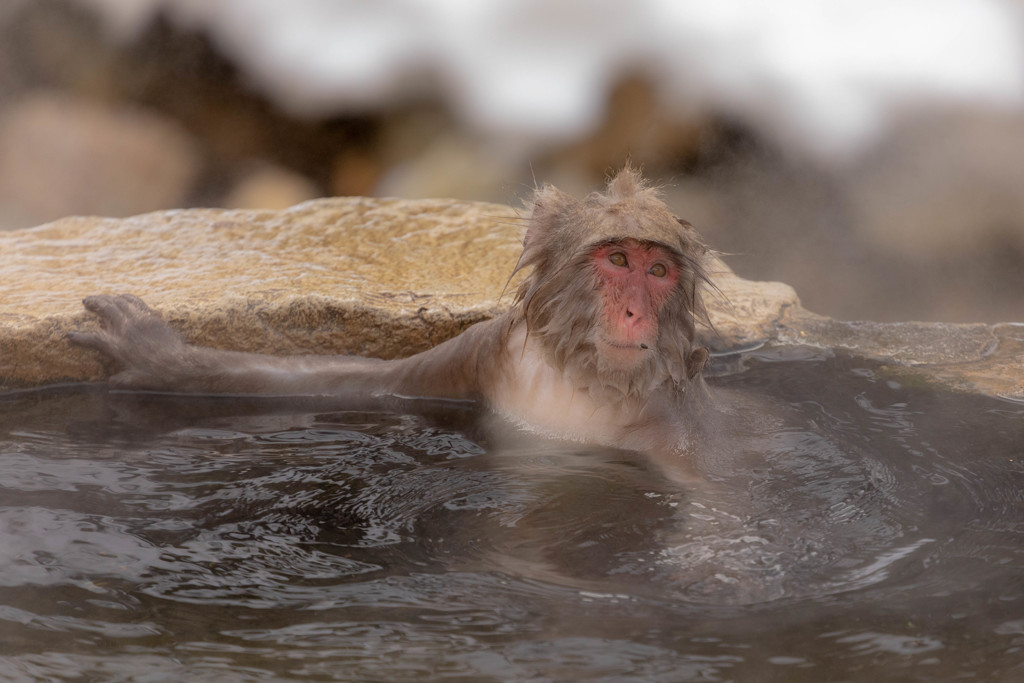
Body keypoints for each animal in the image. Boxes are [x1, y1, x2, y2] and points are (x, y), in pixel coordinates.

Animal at [70, 168, 712, 473]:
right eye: (619, 260)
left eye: (658, 271)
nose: (634, 312)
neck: (578, 380)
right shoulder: (486, 348)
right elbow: (369, 385)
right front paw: (158, 355)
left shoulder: (673, 427)